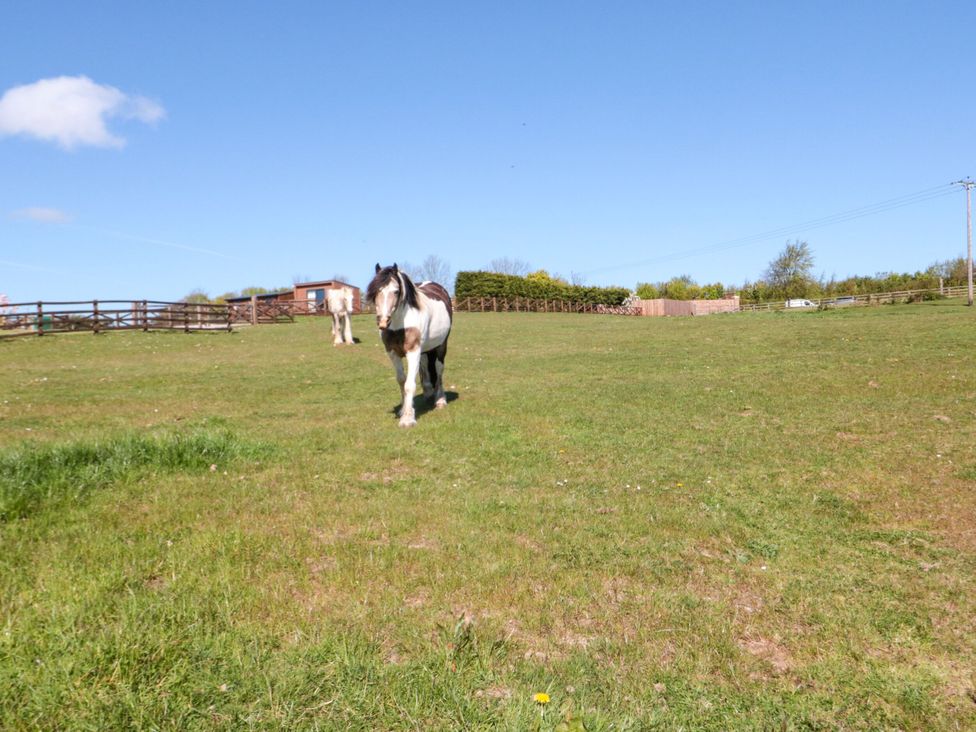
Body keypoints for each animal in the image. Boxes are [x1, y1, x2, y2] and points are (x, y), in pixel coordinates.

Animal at [365, 263, 452, 427]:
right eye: (377, 290)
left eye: (396, 291)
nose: (383, 322)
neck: (400, 324)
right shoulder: (392, 352)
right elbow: (401, 380)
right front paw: (403, 409)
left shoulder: (413, 351)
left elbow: (409, 384)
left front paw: (407, 419)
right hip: (425, 350)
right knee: (425, 365)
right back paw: (428, 393)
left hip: (441, 346)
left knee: (439, 370)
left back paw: (440, 399)